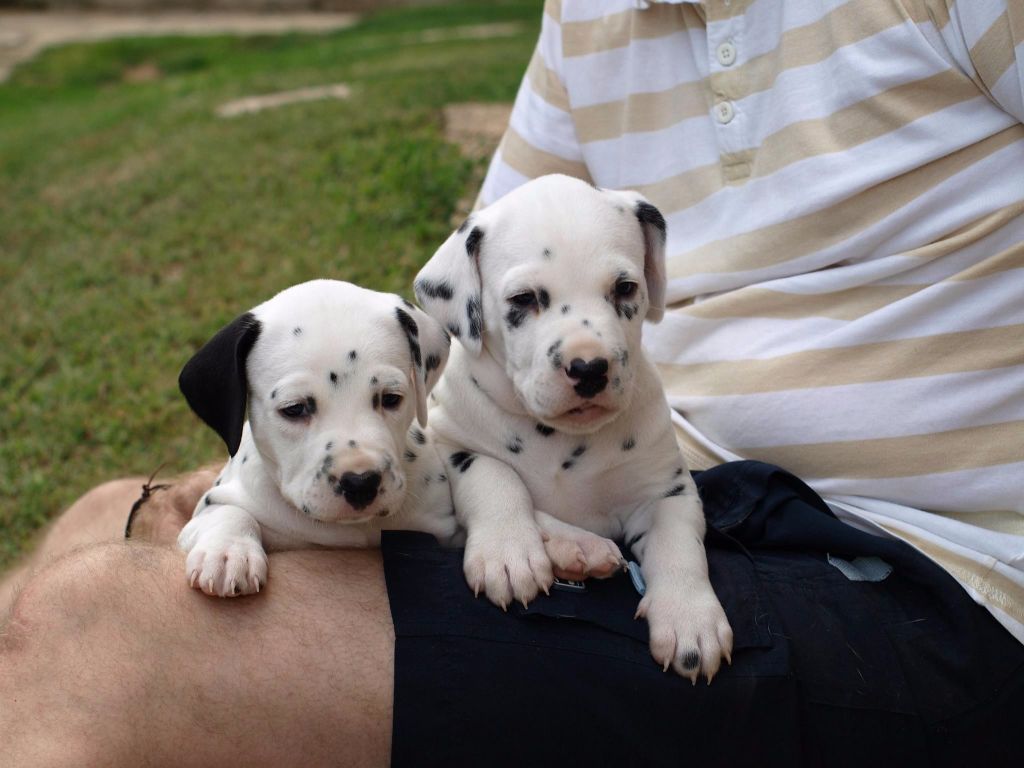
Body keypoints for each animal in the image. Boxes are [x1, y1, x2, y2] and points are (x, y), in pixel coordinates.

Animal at [178, 280, 458, 598]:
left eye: (390, 398)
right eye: (294, 408)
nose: (360, 483)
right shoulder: (213, 504)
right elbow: (229, 511)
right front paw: (228, 553)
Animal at [415, 176, 737, 684]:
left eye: (625, 288)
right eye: (524, 299)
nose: (589, 368)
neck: (556, 439)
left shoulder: (665, 491)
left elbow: (679, 546)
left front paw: (691, 618)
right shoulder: (448, 443)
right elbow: (495, 476)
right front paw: (509, 551)